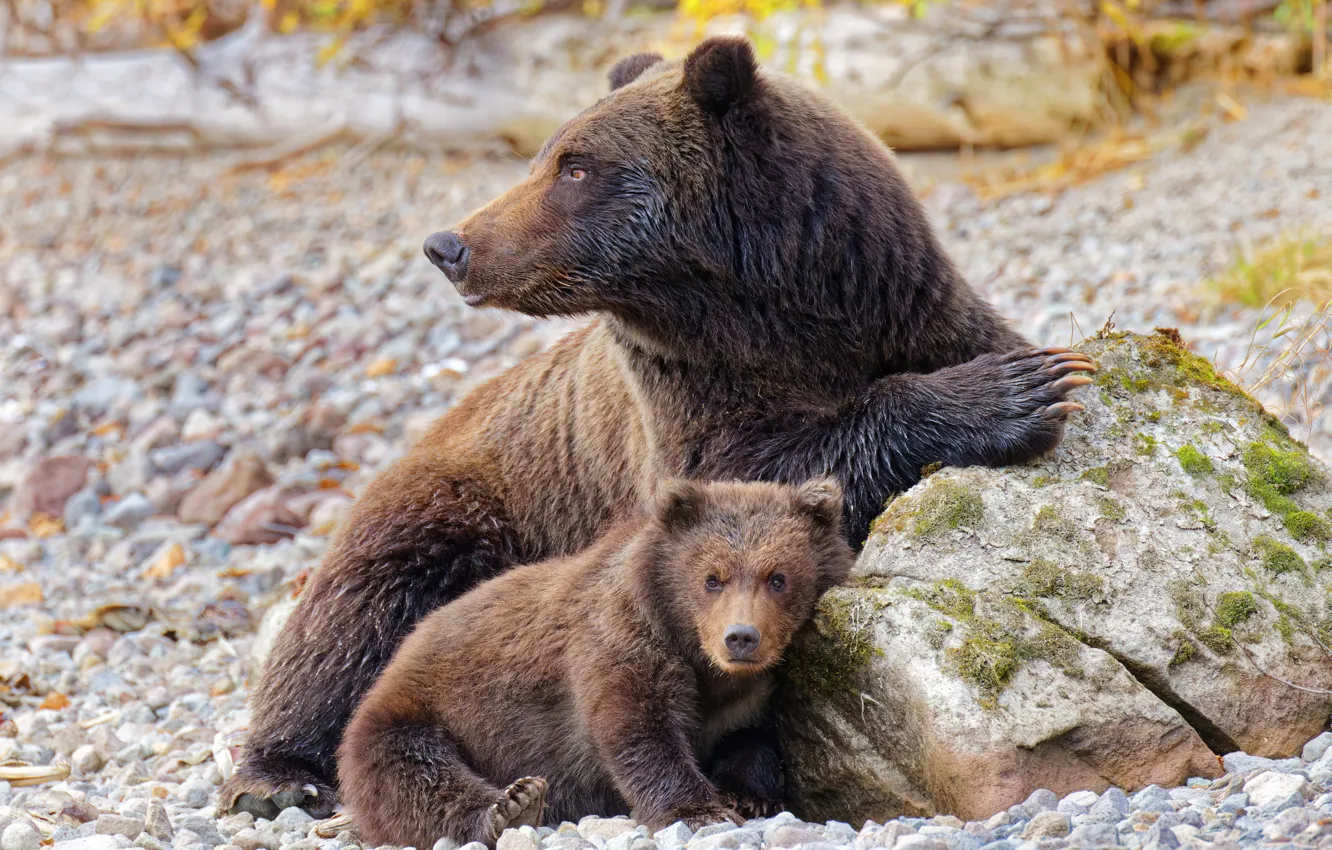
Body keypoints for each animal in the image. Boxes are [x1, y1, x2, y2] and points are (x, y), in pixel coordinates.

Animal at [337, 477, 854, 850]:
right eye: (713, 578)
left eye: (777, 577)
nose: (741, 637)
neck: (704, 663)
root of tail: (399, 652)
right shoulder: (621, 637)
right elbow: (637, 726)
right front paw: (699, 810)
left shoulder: (758, 688)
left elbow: (754, 736)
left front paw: (748, 792)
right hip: (415, 713)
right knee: (412, 771)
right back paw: (512, 804)